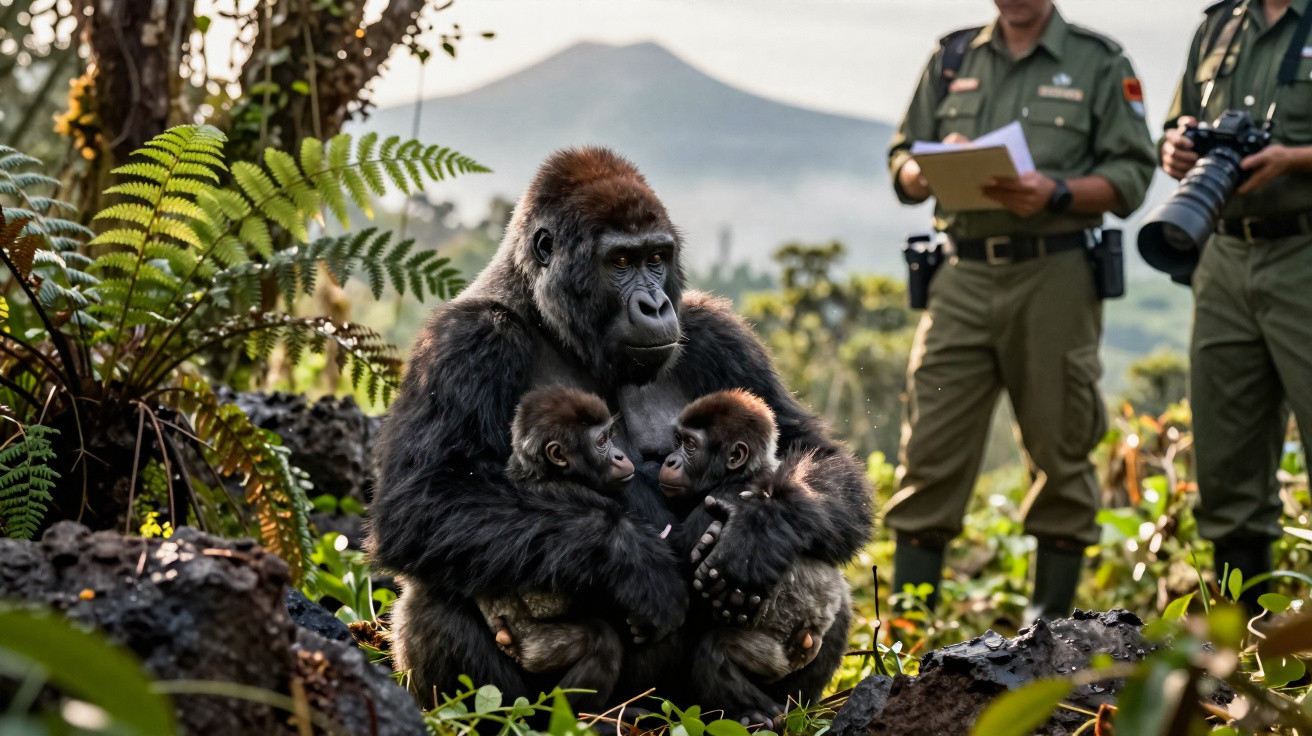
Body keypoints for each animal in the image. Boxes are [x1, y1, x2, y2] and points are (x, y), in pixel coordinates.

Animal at [659, 390, 852, 726]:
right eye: (677, 440)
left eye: (691, 445)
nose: (670, 461)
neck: (746, 472)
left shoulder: (709, 508)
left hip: (774, 660)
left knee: (716, 653)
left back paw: (759, 714)